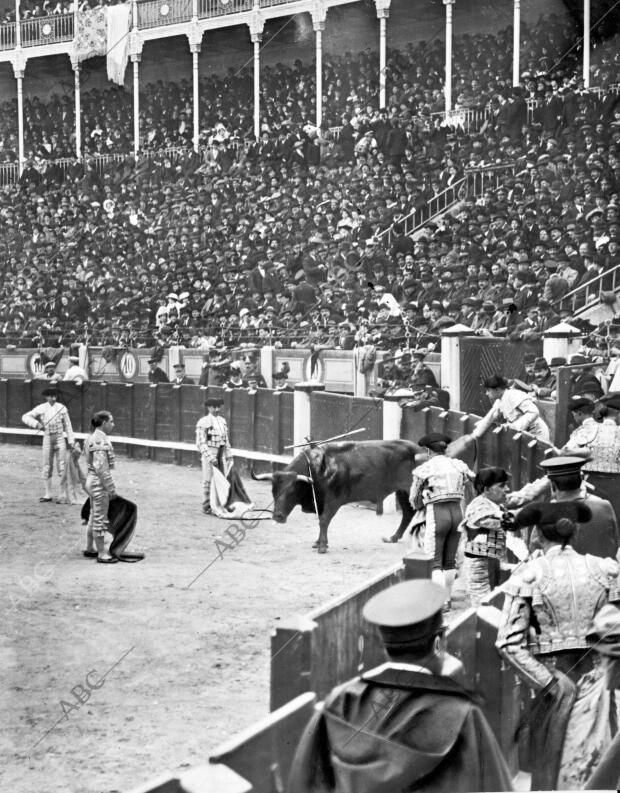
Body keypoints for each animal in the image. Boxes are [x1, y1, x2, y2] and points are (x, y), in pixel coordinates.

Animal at [249, 436, 424, 552]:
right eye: (273, 491)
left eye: (292, 491)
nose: (277, 516)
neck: (316, 469)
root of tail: (420, 450)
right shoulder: (320, 501)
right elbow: (321, 520)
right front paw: (318, 542)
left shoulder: (333, 501)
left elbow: (324, 520)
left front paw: (322, 546)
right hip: (402, 491)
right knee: (408, 513)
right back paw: (393, 537)